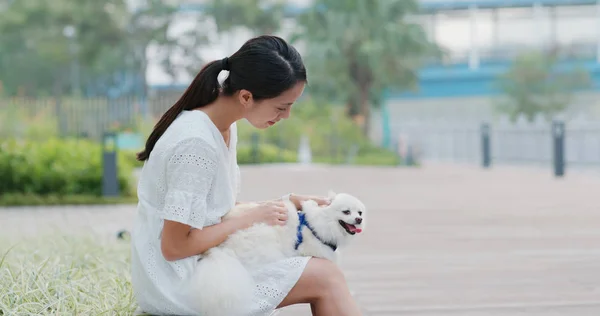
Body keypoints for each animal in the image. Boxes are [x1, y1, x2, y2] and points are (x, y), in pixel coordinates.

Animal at [183, 190, 368, 316]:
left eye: (360, 212)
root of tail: (219, 249)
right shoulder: (313, 248)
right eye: (346, 212)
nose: (359, 219)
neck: (323, 221)